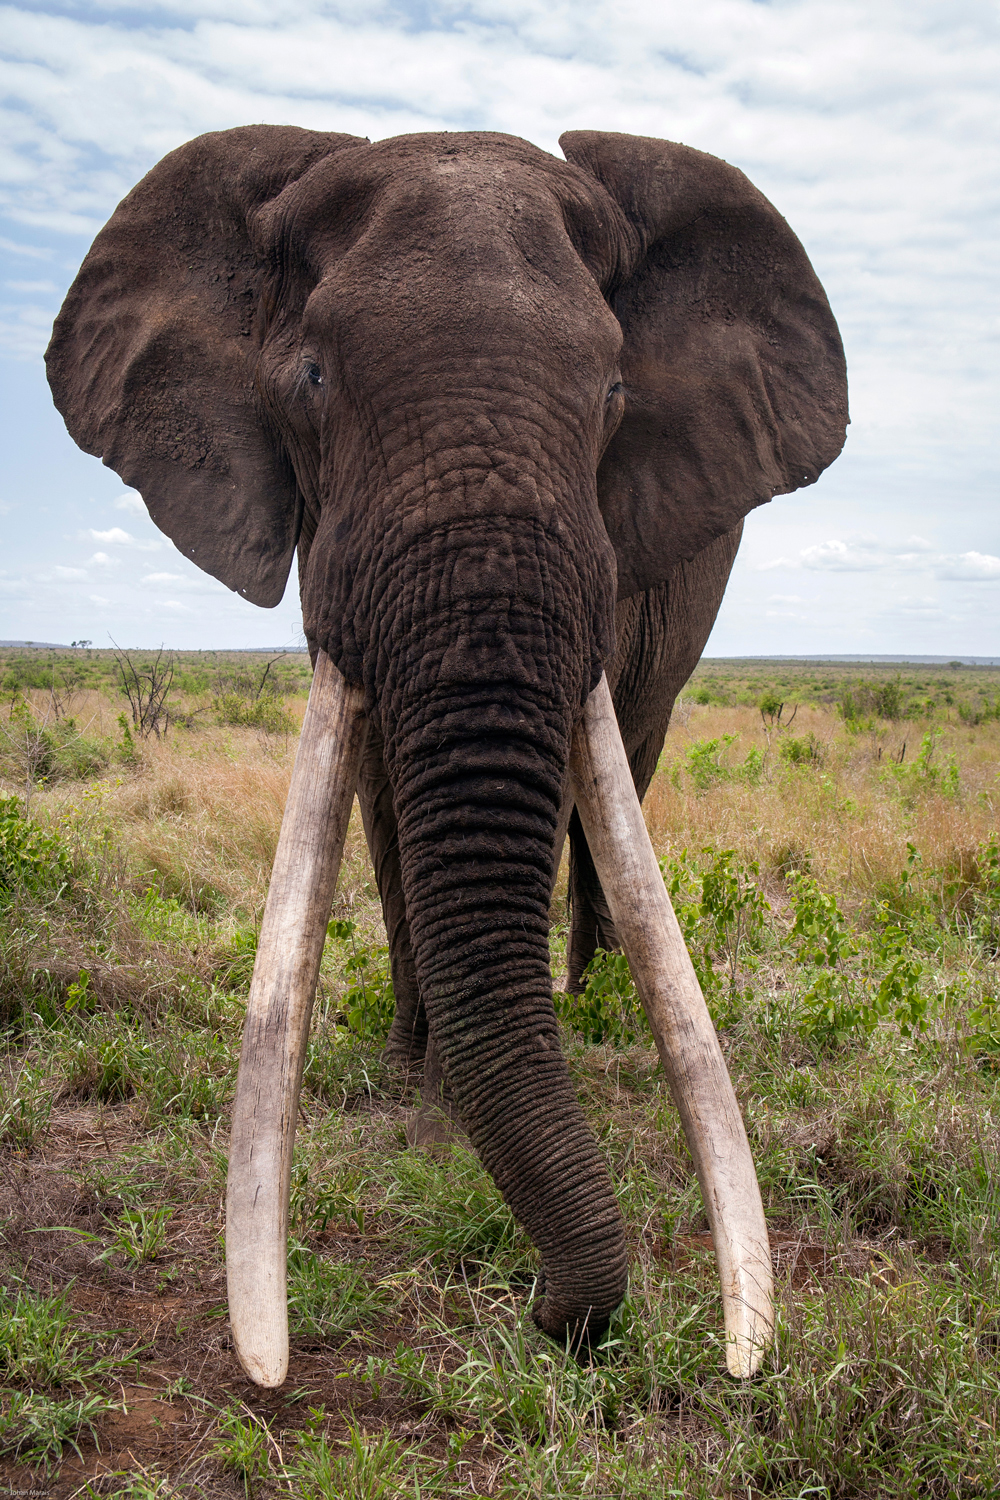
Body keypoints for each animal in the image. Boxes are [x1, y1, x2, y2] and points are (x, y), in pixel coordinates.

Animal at [44, 123, 845, 1386]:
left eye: (614, 395)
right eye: (311, 383)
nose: (550, 1314)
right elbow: (379, 787)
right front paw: (417, 1100)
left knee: (626, 767)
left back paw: (597, 1008)